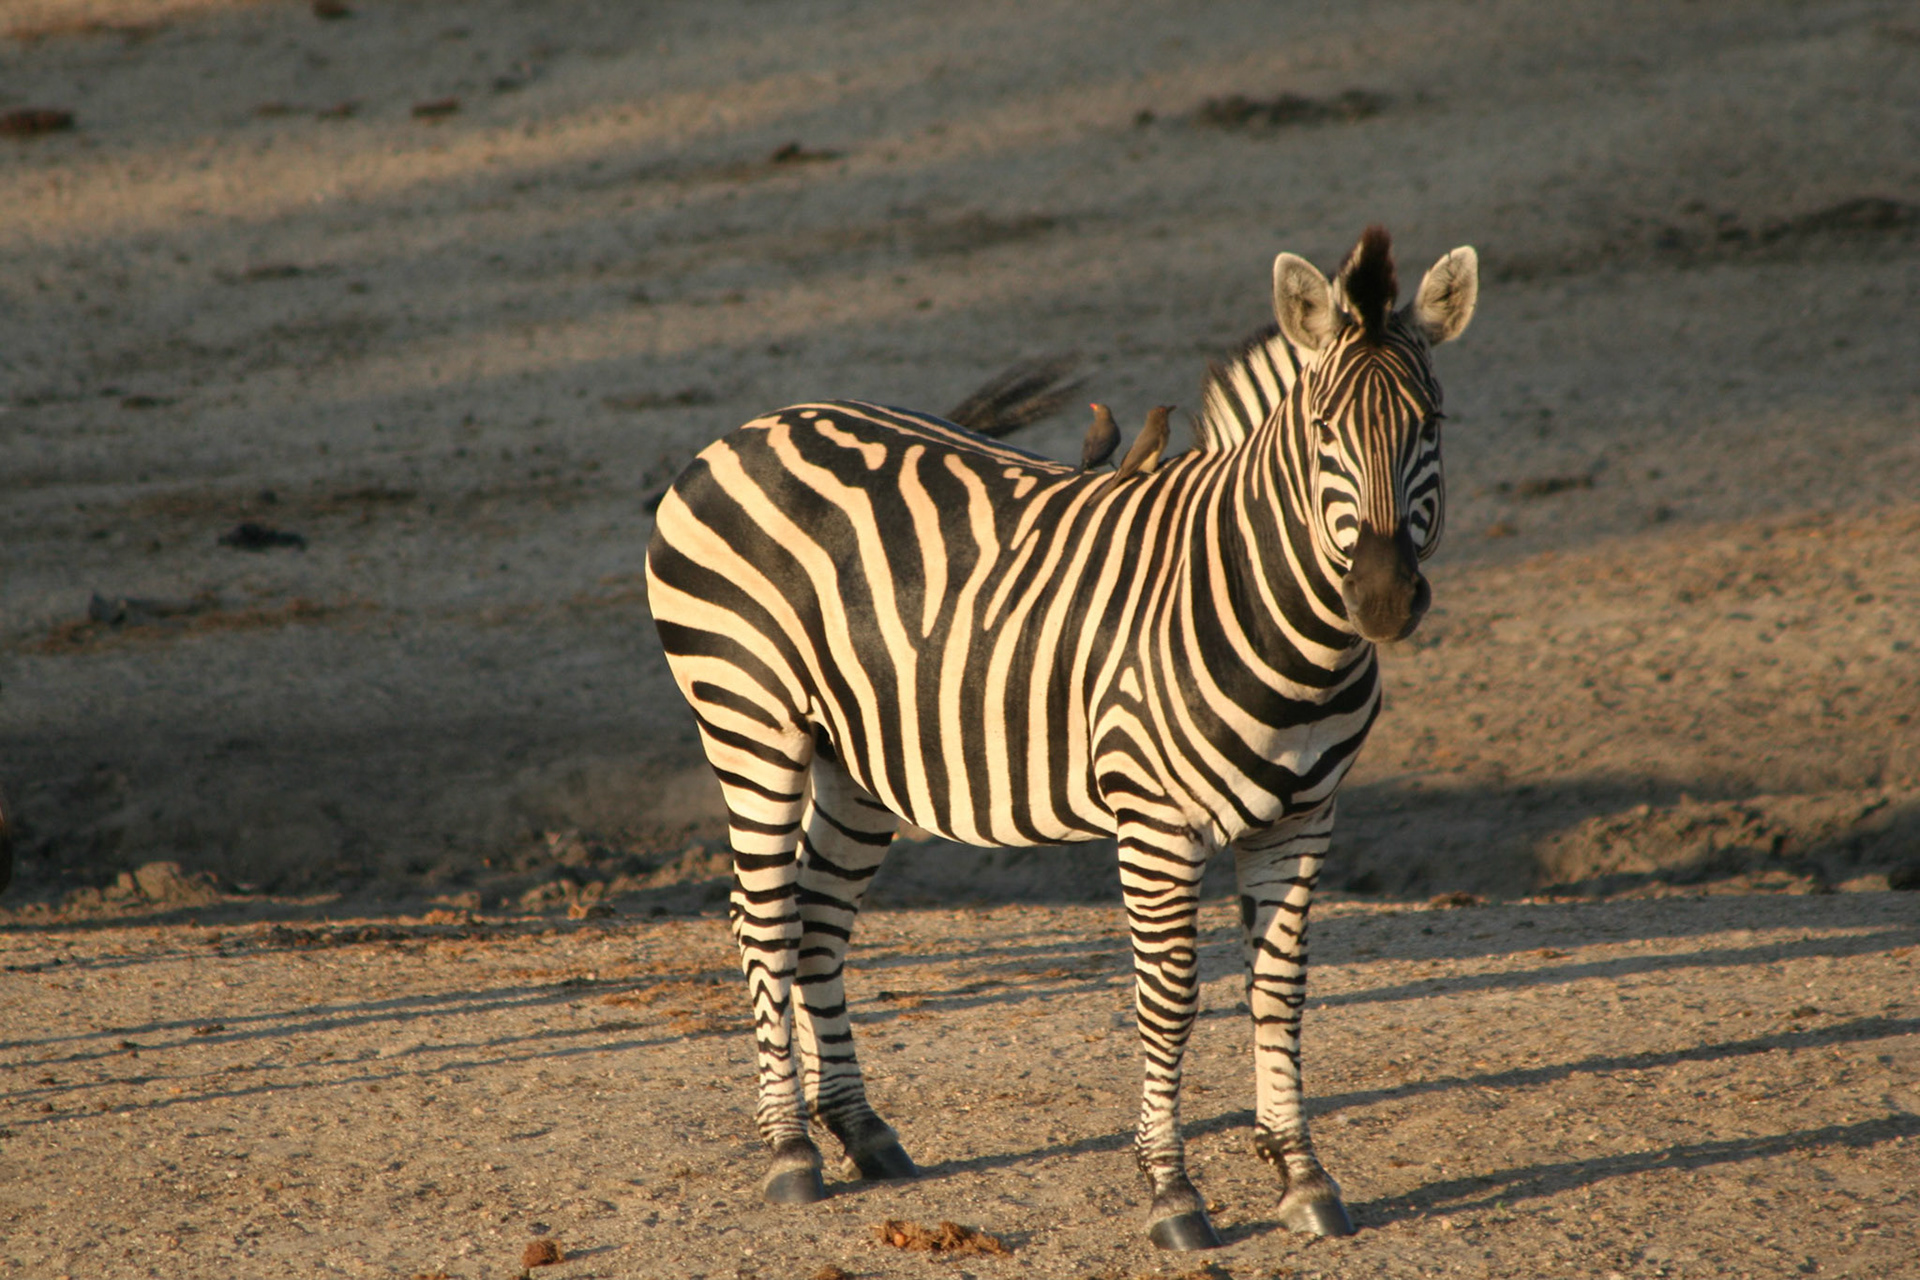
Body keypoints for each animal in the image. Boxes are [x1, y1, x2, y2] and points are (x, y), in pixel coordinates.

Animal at [644, 226, 1477, 1251]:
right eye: (1323, 430)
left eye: (1432, 423)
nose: (1385, 599)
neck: (1286, 627)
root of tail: (749, 429)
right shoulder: (1156, 823)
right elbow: (1169, 999)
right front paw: (1171, 1193)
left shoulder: (1304, 816)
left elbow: (1280, 991)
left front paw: (1303, 1177)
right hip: (750, 721)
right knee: (763, 916)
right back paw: (791, 1151)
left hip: (856, 760)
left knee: (817, 920)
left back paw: (860, 1130)